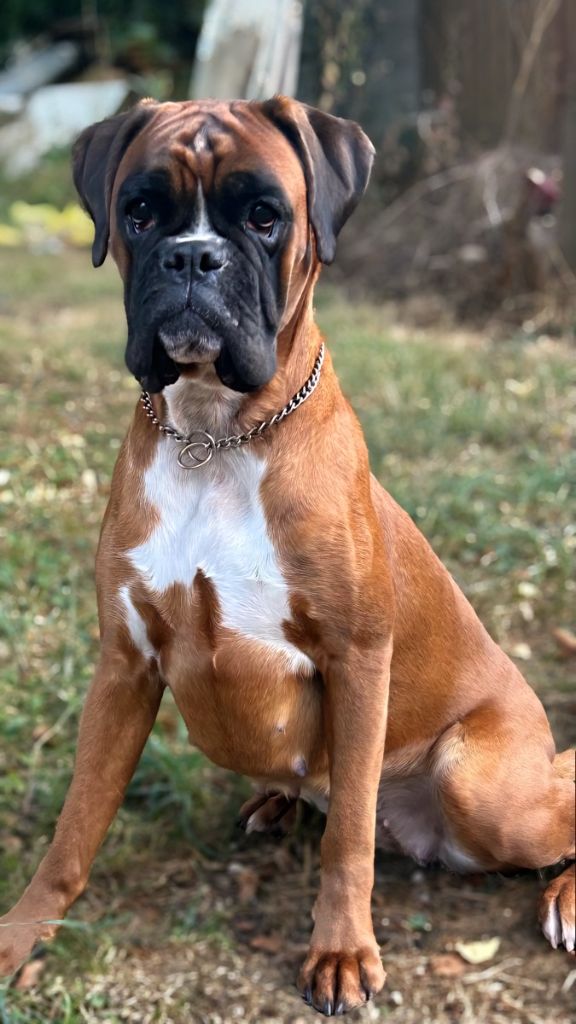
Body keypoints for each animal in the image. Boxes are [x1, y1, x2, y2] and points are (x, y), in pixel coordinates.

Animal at [0, 97, 574, 1016]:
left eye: (264, 216)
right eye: (140, 211)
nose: (193, 255)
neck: (214, 434)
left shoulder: (357, 659)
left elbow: (348, 842)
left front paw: (340, 953)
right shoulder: (124, 666)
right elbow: (74, 828)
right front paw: (22, 935)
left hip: (483, 786)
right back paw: (276, 802)